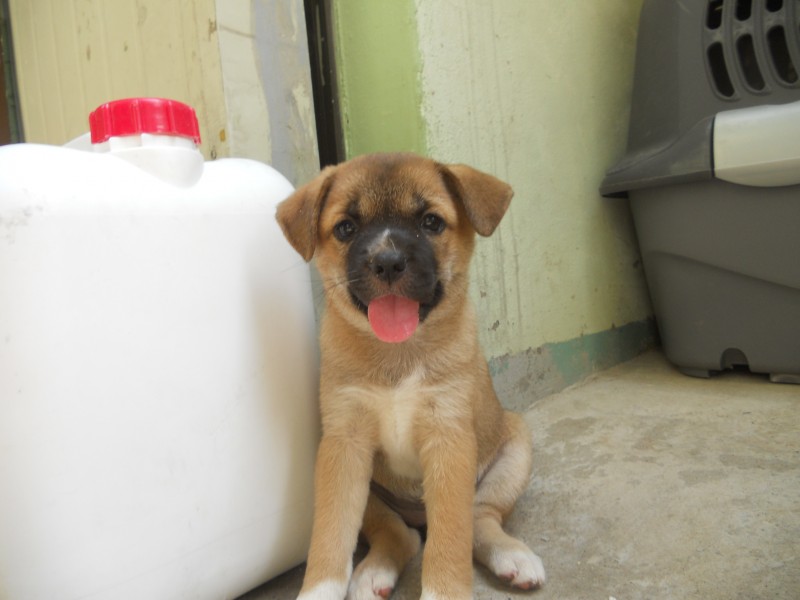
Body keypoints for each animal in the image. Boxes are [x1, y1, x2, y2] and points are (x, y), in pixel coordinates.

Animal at [276, 153, 545, 600]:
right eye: (346, 228)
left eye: (431, 222)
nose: (387, 262)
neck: (397, 356)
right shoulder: (343, 447)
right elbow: (330, 536)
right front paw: (318, 591)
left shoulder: (449, 439)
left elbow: (449, 542)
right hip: (371, 491)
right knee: (400, 535)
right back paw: (373, 573)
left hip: (513, 450)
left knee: (478, 519)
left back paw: (512, 556)